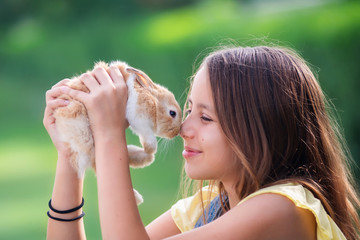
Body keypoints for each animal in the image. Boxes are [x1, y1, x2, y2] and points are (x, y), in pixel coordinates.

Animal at [53, 60, 183, 204]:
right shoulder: (139, 117)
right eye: (172, 113)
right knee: (96, 164)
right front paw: (149, 150)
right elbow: (150, 141)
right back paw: (138, 194)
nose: (176, 133)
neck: (153, 101)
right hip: (85, 136)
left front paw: (146, 152)